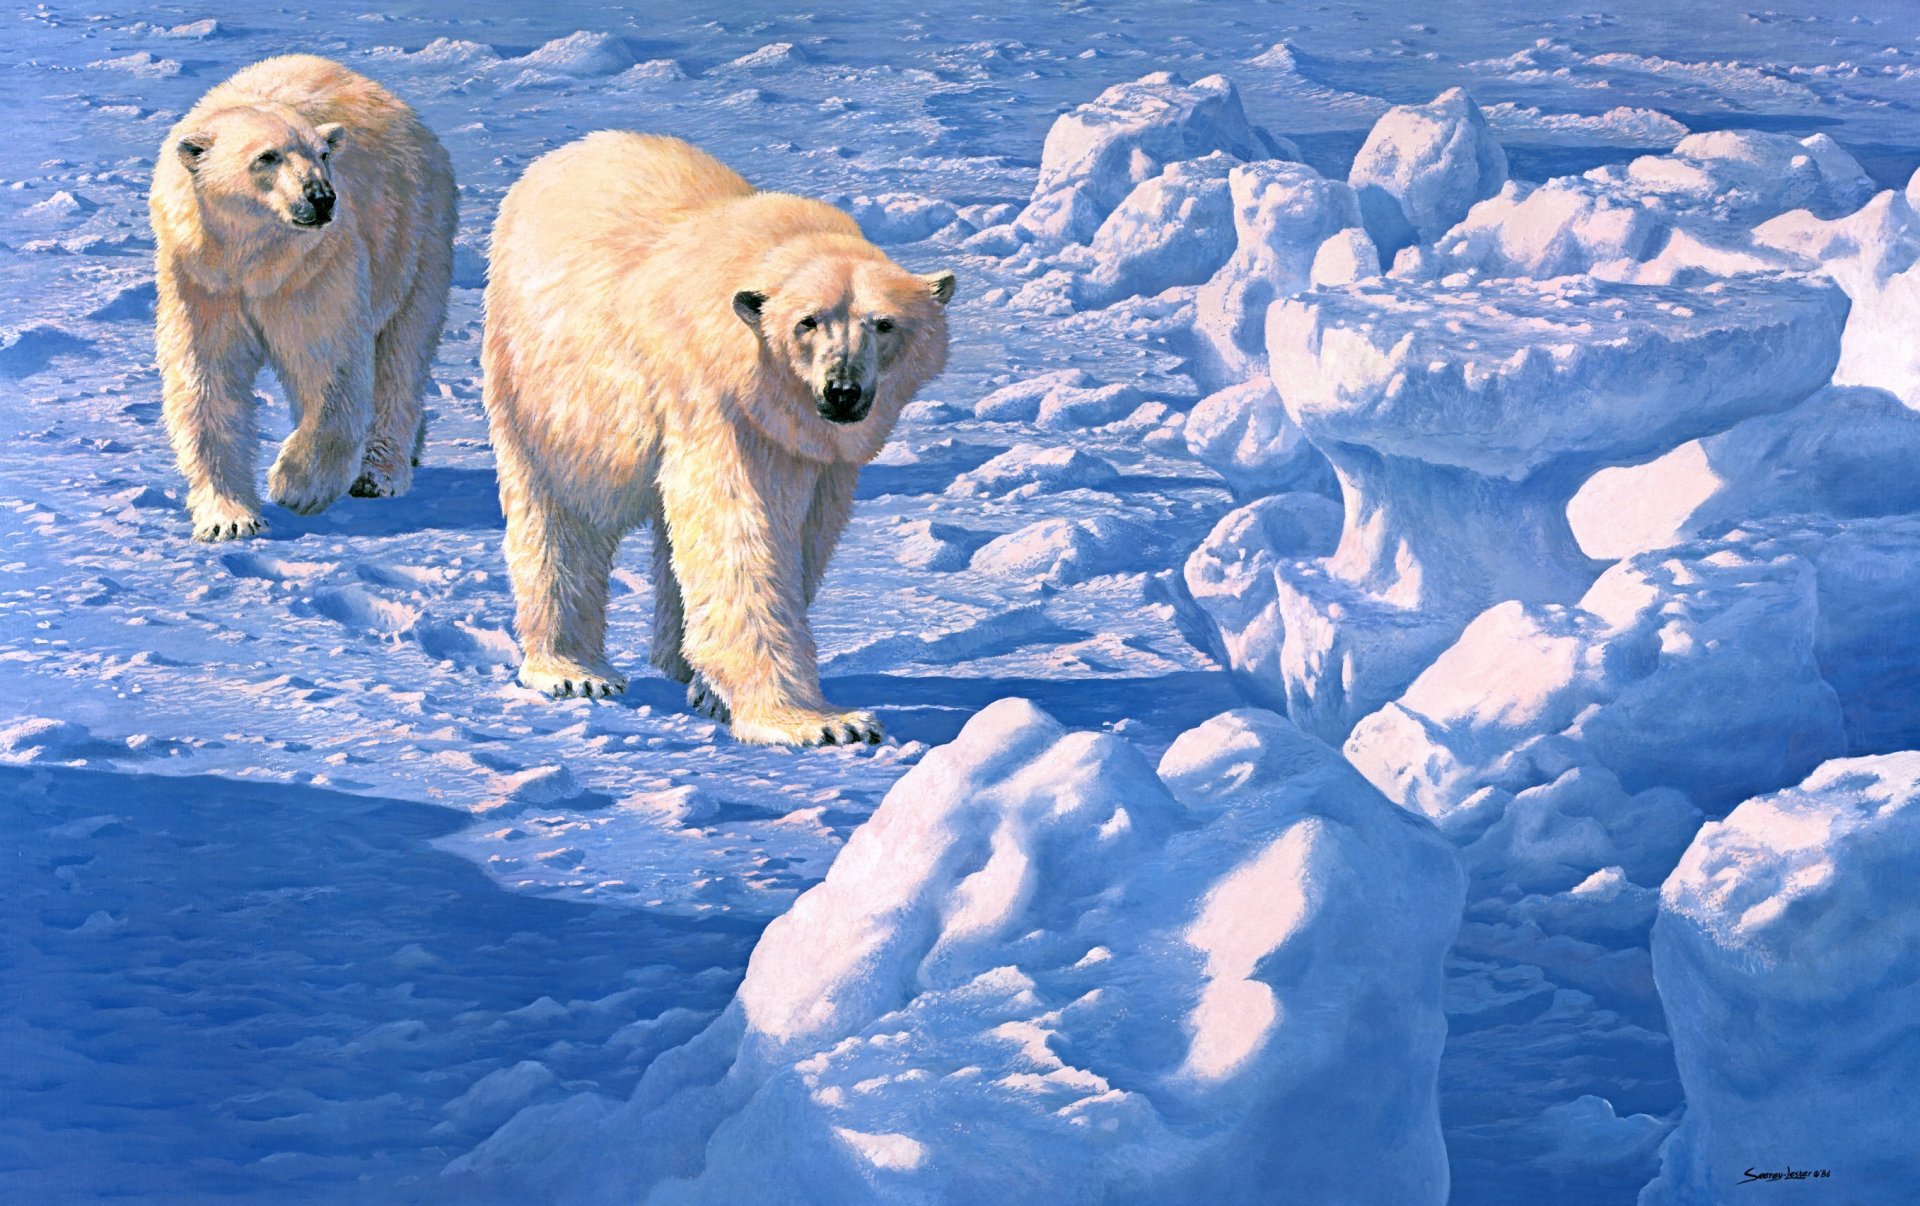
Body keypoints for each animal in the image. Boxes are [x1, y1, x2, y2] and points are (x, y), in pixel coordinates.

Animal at [150, 54, 456, 541]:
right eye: (267, 156)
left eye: (323, 154)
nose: (321, 197)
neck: (254, 260)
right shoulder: (202, 278)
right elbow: (206, 380)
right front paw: (229, 518)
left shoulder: (311, 269)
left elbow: (328, 364)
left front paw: (293, 485)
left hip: (416, 240)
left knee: (401, 355)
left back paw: (379, 472)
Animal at [482, 132, 955, 746]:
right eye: (807, 321)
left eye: (885, 323)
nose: (842, 391)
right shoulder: (717, 404)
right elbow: (738, 533)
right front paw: (822, 723)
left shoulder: (811, 453)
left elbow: (803, 535)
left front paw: (711, 691)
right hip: (544, 384)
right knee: (564, 510)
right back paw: (572, 669)